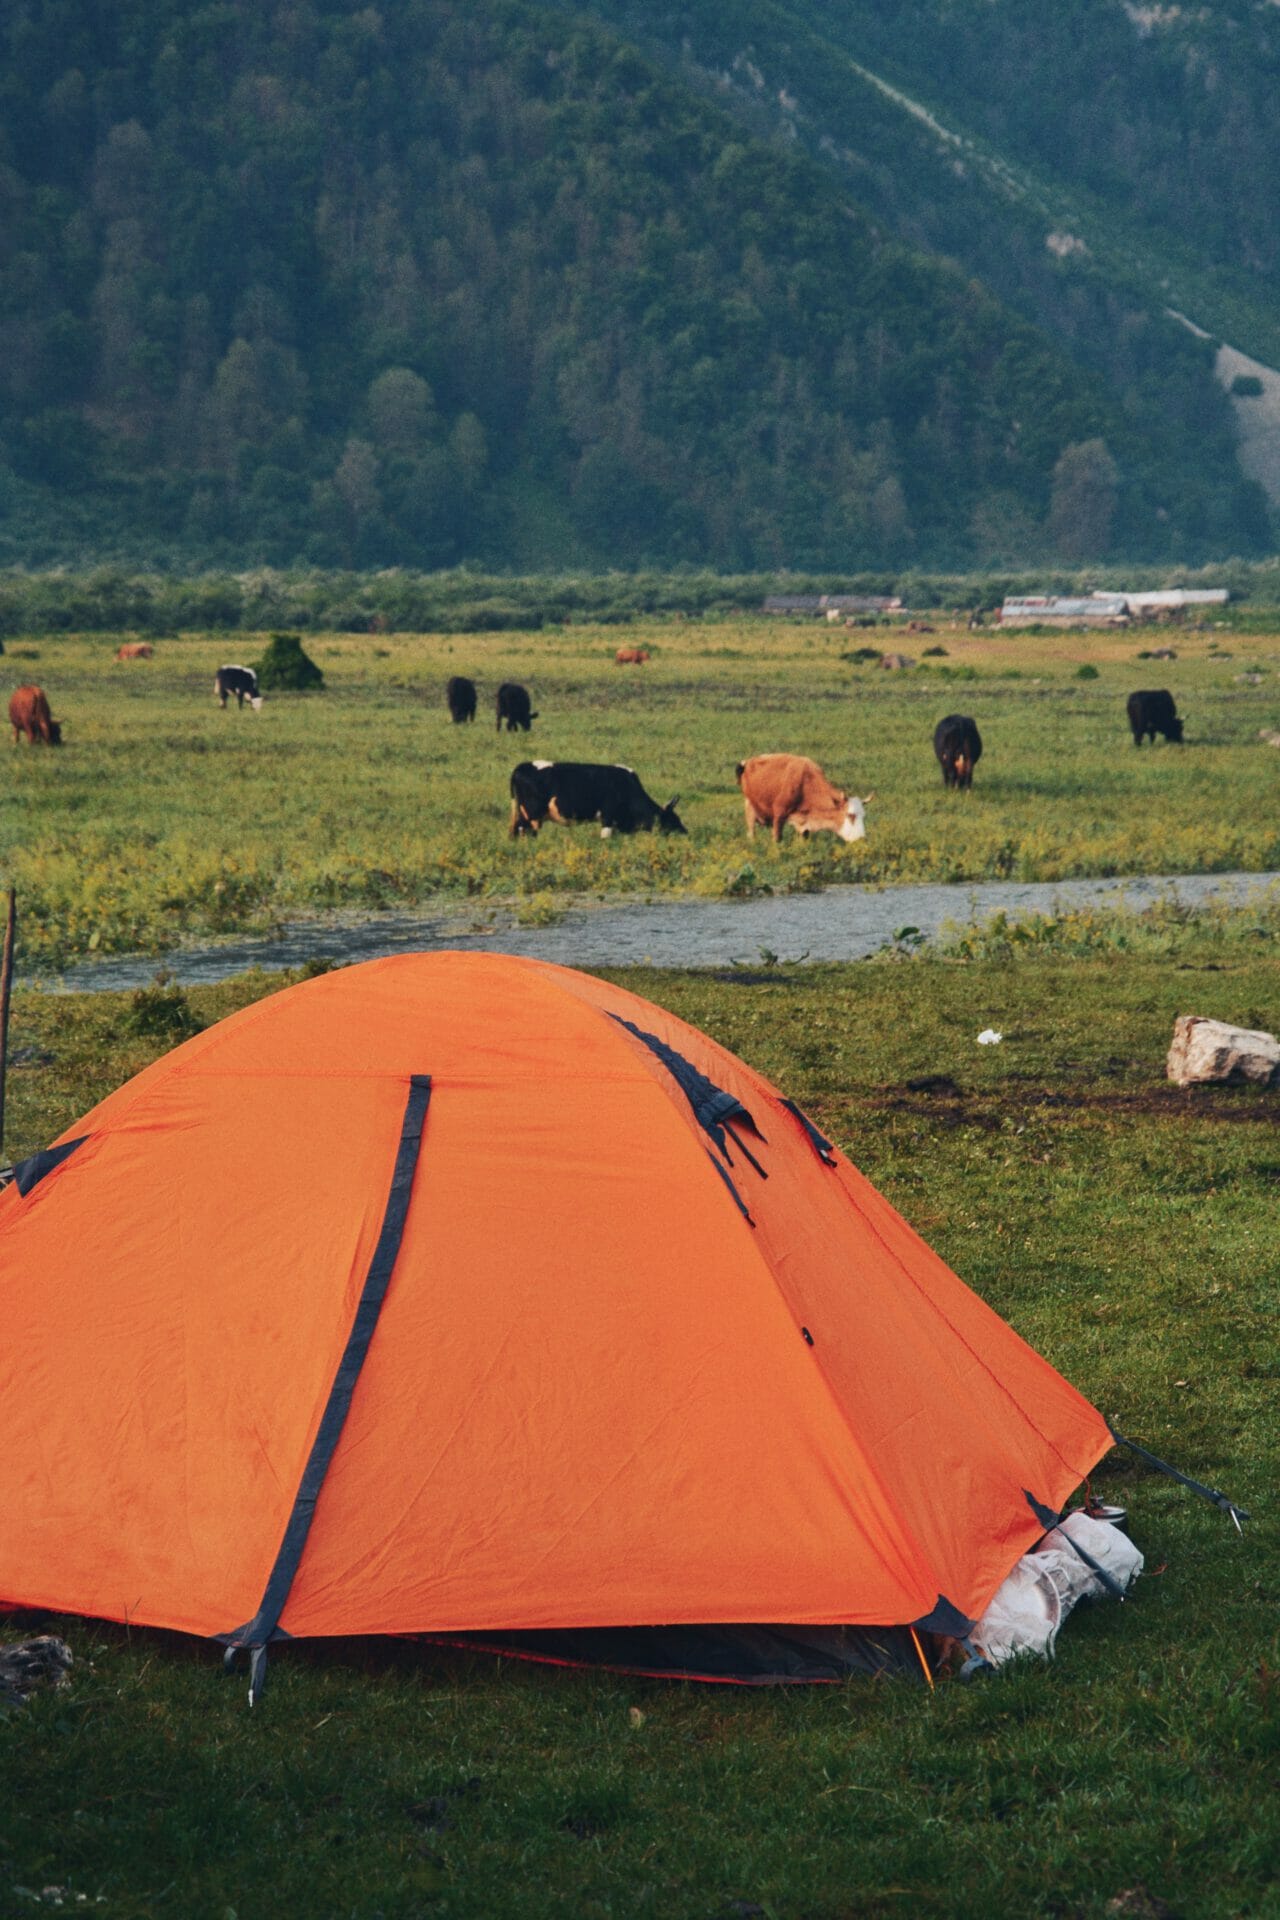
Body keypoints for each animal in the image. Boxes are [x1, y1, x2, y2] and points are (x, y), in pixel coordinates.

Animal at [740, 752, 871, 844]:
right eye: (850, 815)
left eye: (864, 816)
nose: (861, 839)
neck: (806, 782)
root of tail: (747, 763)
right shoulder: (779, 816)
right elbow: (777, 838)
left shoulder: (805, 825)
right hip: (750, 808)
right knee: (751, 832)